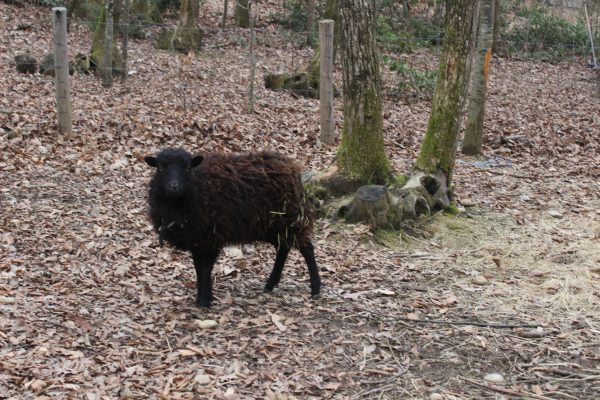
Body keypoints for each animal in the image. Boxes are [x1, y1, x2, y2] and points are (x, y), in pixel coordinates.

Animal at [144, 147, 322, 306]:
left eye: (187, 168)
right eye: (161, 167)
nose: (174, 187)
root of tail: (291, 166)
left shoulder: (211, 237)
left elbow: (205, 269)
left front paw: (204, 301)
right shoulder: (197, 239)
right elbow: (198, 268)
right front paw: (200, 297)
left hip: (291, 217)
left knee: (307, 249)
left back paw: (315, 288)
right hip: (274, 224)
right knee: (283, 249)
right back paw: (270, 284)